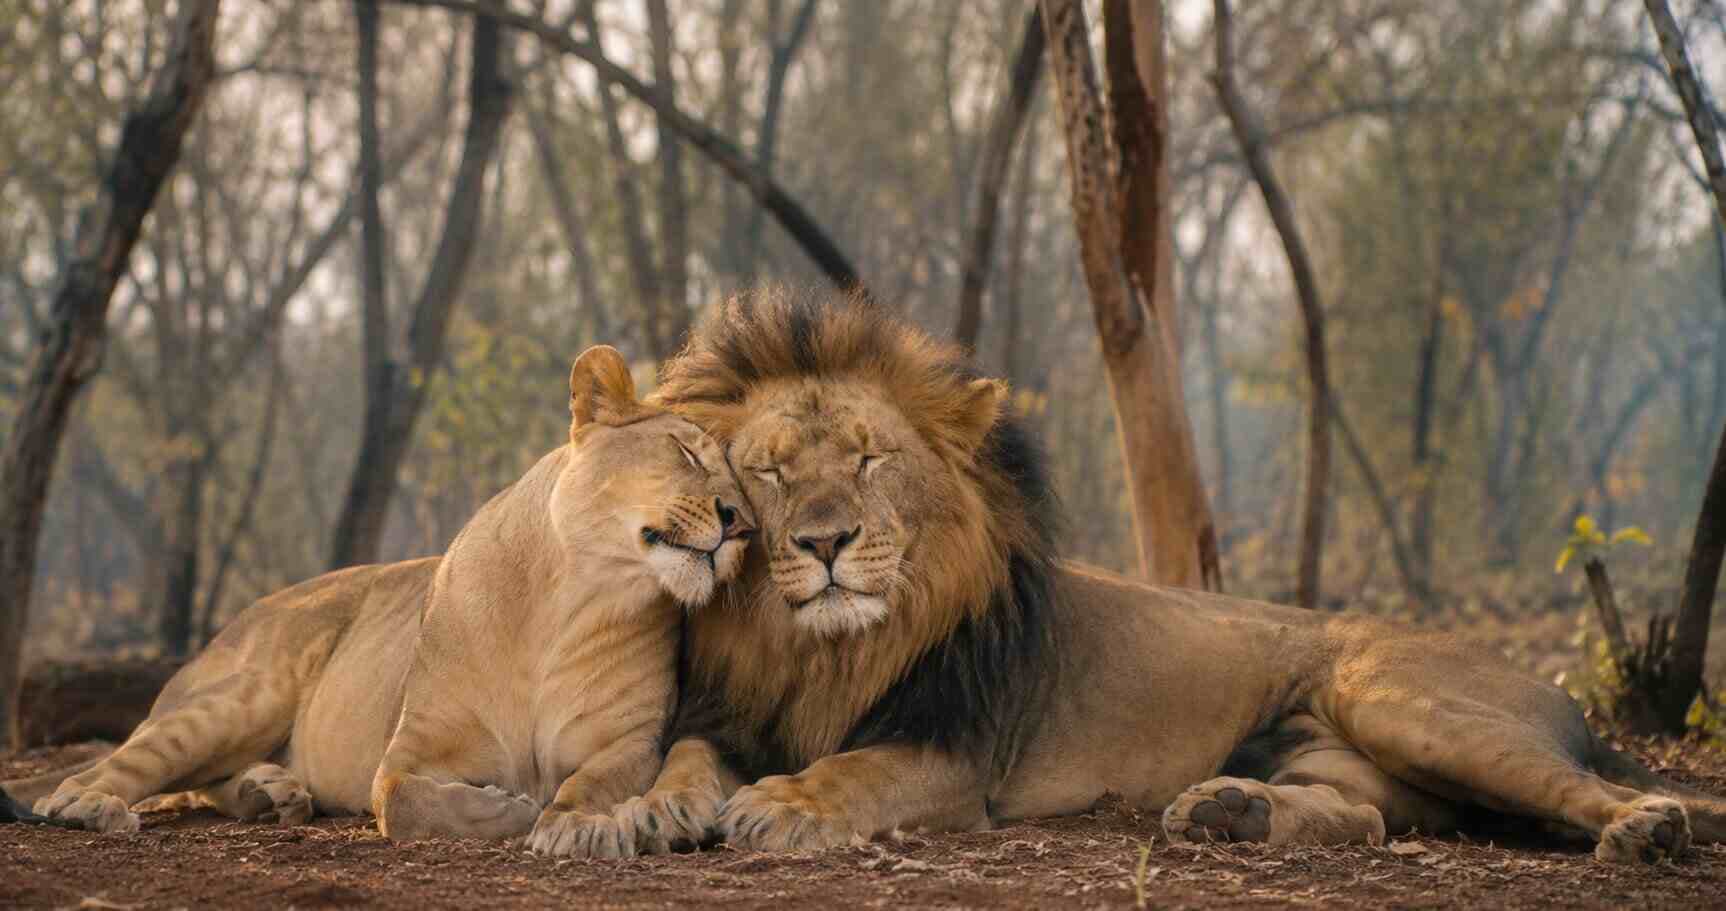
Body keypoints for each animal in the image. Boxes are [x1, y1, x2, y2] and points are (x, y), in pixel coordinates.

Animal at [3, 346, 753, 858]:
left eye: (740, 478)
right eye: (687, 453)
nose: (742, 521)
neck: (573, 598)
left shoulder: (628, 743)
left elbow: (591, 783)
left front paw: (571, 821)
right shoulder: (405, 752)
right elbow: (404, 801)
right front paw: (512, 808)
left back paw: (272, 795)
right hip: (240, 698)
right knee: (107, 768)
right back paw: (93, 804)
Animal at [613, 288, 1725, 864]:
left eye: (869, 458)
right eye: (768, 470)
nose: (826, 542)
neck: (822, 652)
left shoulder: (953, 752)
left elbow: (855, 768)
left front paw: (787, 805)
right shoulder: (726, 710)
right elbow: (683, 759)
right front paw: (643, 811)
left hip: (1409, 702)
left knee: (1583, 786)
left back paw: (1646, 827)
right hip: (1339, 752)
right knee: (1367, 814)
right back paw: (1230, 811)